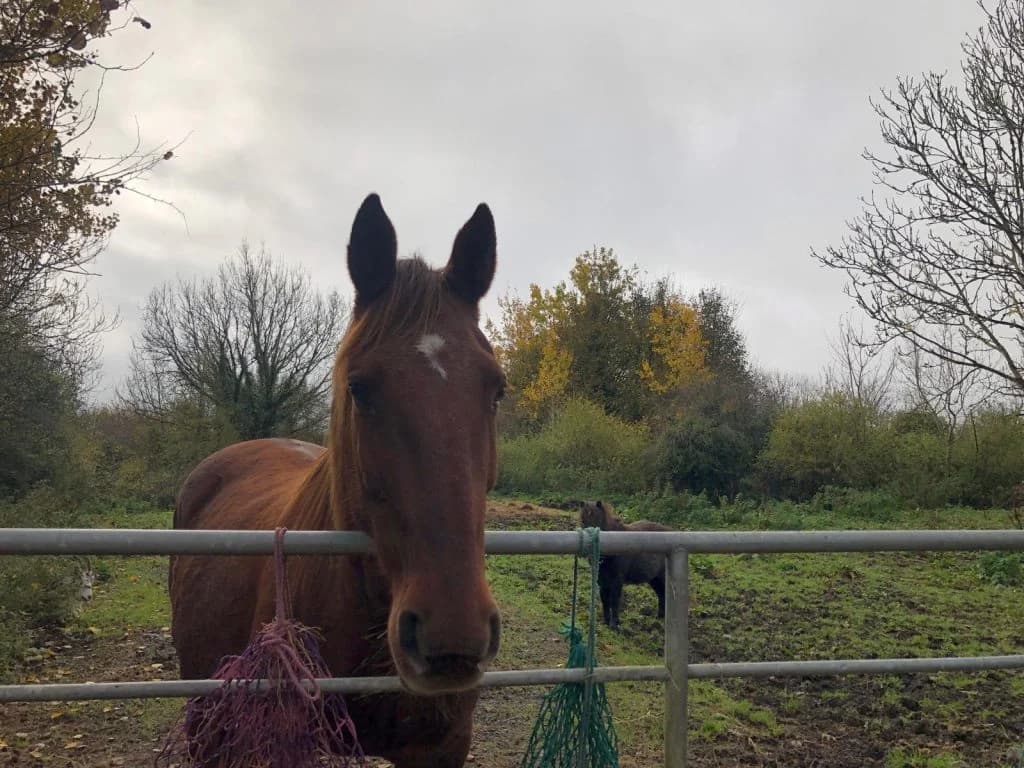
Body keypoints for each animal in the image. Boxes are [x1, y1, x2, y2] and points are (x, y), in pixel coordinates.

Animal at [579, 500, 672, 630]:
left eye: (598, 519)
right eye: (583, 519)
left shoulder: (617, 580)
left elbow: (614, 600)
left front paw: (614, 624)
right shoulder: (602, 580)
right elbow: (604, 599)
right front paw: (606, 622)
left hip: (662, 577)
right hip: (654, 579)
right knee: (661, 594)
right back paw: (659, 617)